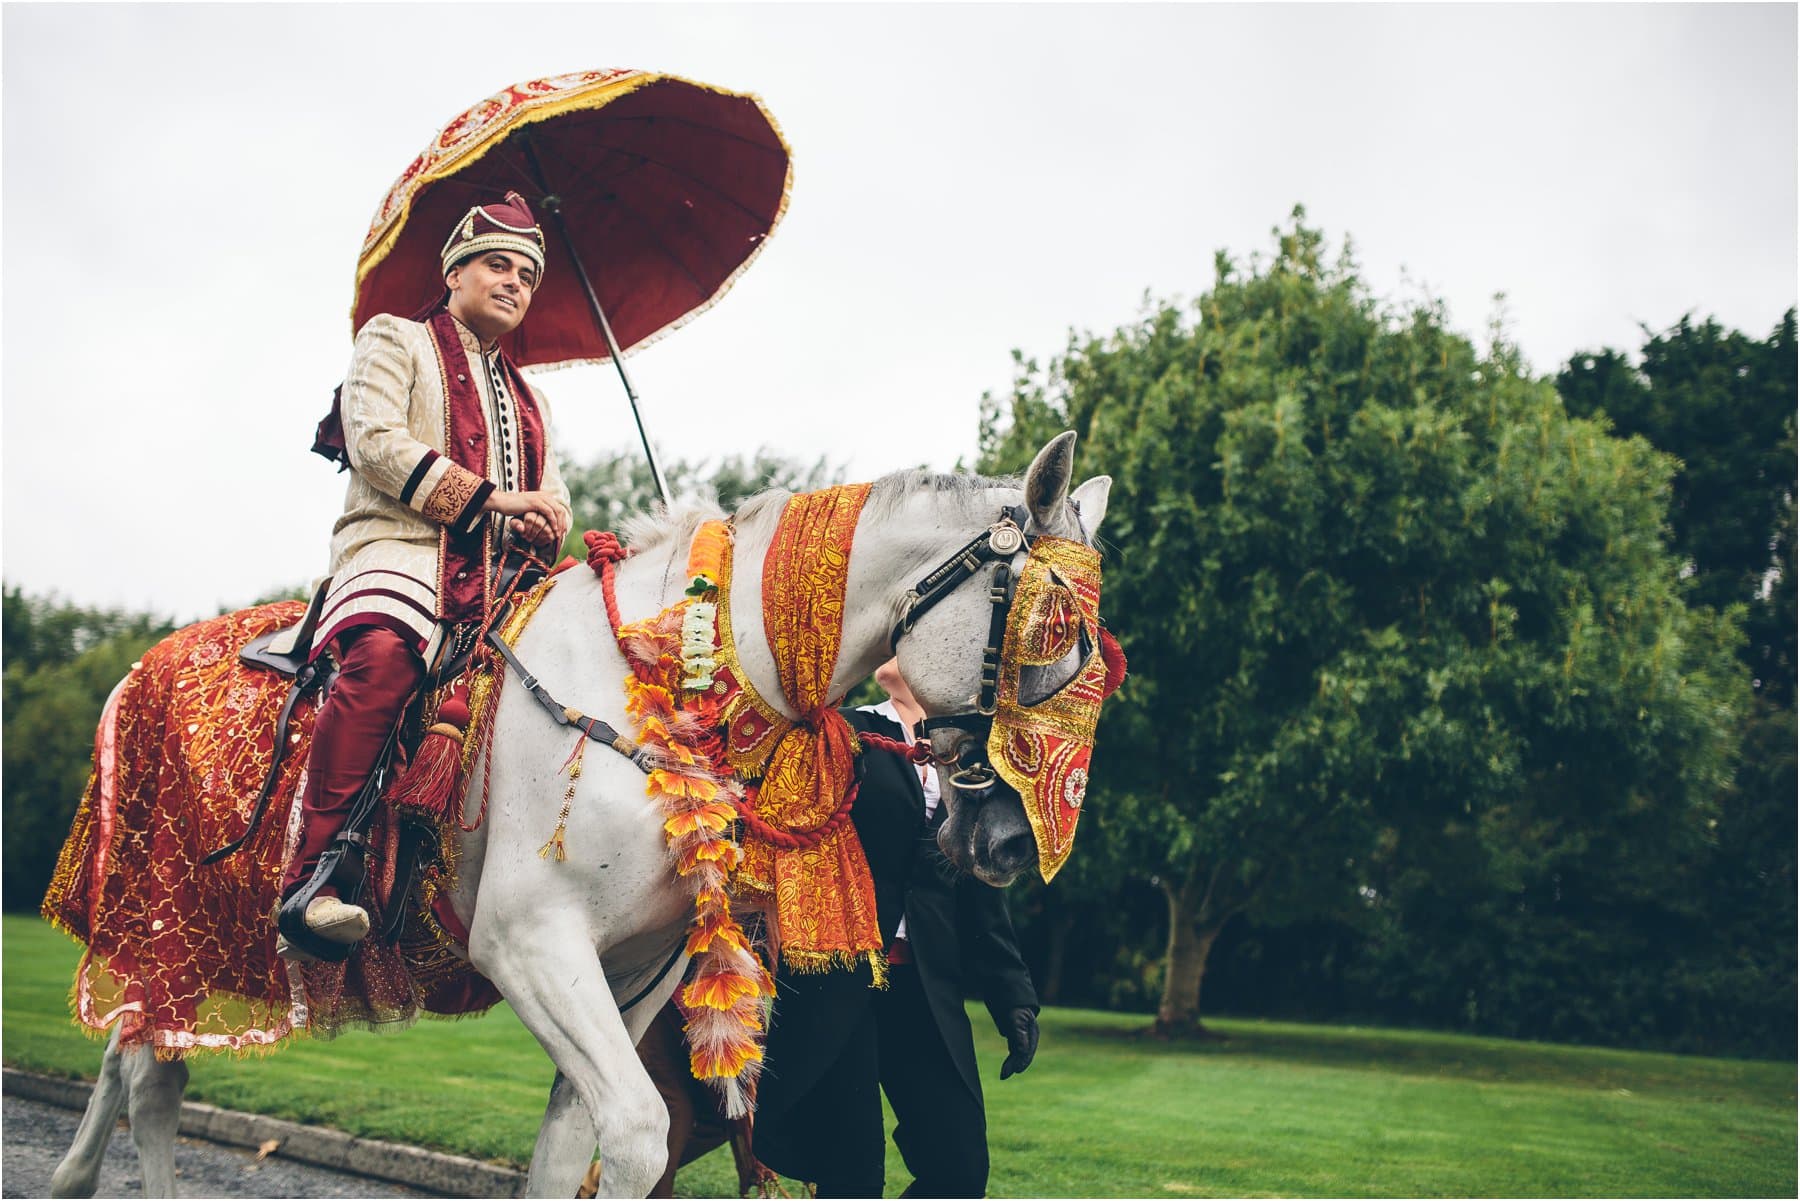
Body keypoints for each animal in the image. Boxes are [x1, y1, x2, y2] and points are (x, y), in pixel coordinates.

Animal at [49, 432, 1101, 1201]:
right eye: (1053, 630)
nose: (1011, 841)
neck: (653, 682)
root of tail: (143, 664)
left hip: (191, 938)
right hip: (173, 920)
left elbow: (570, 1153)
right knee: (151, 1080)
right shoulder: (531, 943)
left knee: (134, 1056)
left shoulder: (632, 973)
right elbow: (635, 1136)